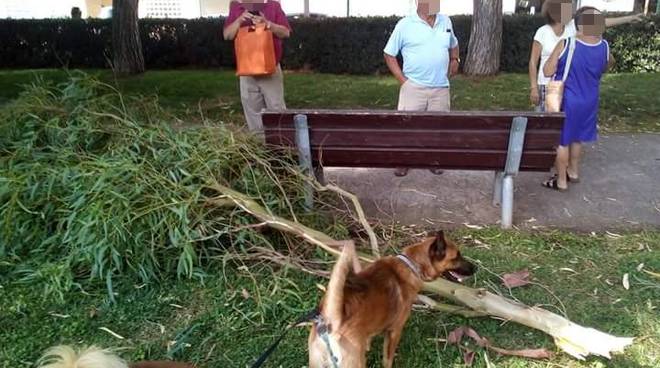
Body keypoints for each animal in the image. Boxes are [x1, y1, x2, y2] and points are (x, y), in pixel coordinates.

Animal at [308, 231, 474, 366]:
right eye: (457, 256)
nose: (476, 268)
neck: (410, 265)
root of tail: (332, 320)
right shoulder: (395, 331)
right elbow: (387, 359)